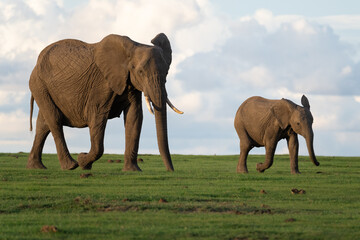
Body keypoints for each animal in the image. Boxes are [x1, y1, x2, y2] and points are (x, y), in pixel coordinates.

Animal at [26, 33, 183, 171]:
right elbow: (97, 115)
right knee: (54, 119)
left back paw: (36, 167)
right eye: (140, 72)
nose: (170, 170)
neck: (131, 48)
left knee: (43, 125)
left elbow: (134, 117)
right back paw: (70, 166)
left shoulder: (130, 83)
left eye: (167, 73)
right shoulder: (101, 83)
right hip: (39, 84)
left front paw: (132, 171)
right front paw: (83, 161)